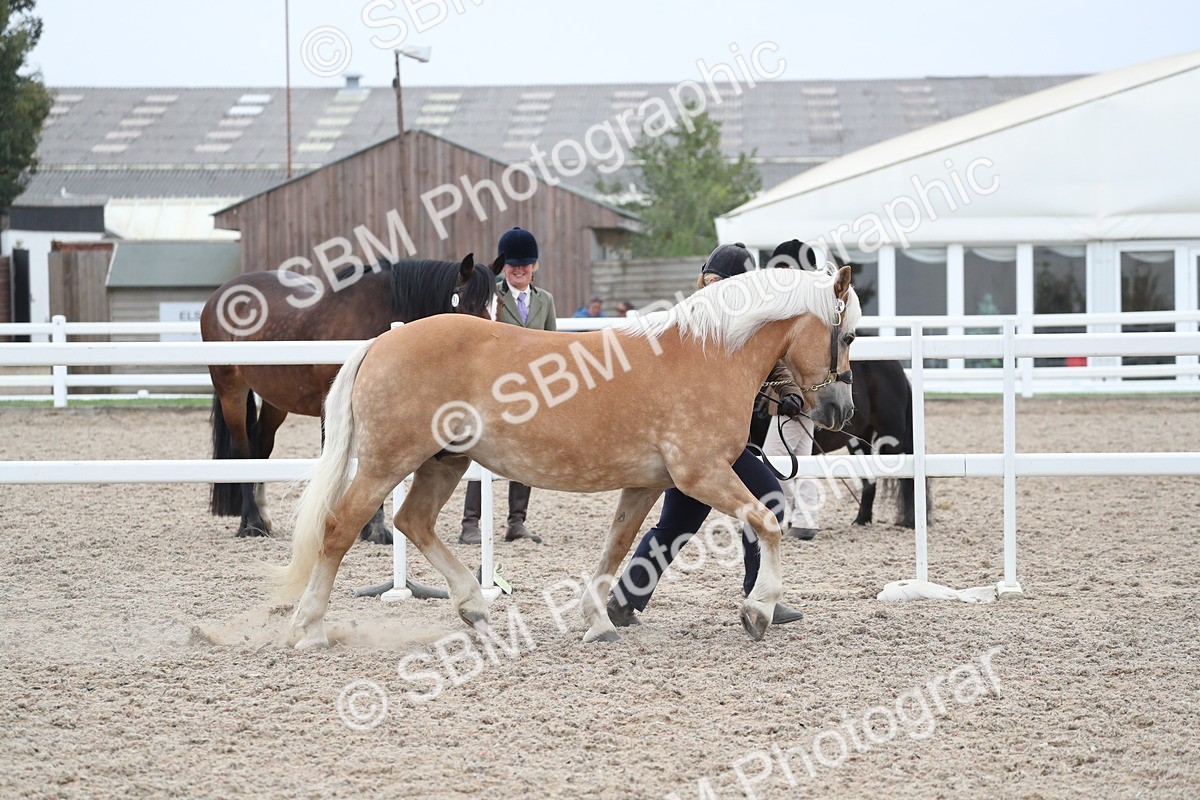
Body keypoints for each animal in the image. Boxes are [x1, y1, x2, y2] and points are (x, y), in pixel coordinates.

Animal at [200, 254, 502, 541]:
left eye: (497, 303)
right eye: (470, 301)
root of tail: (219, 294)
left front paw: (373, 528)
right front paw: (371, 527)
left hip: (276, 401)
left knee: (261, 449)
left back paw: (263, 517)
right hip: (231, 391)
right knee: (243, 451)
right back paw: (250, 522)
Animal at [266, 266, 860, 648]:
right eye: (850, 335)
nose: (841, 409)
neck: (707, 354)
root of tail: (378, 344)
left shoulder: (647, 483)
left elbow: (618, 546)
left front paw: (598, 620)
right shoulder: (703, 475)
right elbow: (769, 524)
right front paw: (758, 610)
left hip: (444, 461)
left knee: (413, 521)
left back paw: (476, 609)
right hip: (386, 462)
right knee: (340, 528)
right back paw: (310, 628)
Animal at [814, 358, 925, 528]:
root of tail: (896, 365)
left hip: (893, 436)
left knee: (906, 476)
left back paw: (909, 521)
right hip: (860, 440)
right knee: (869, 481)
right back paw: (862, 519)